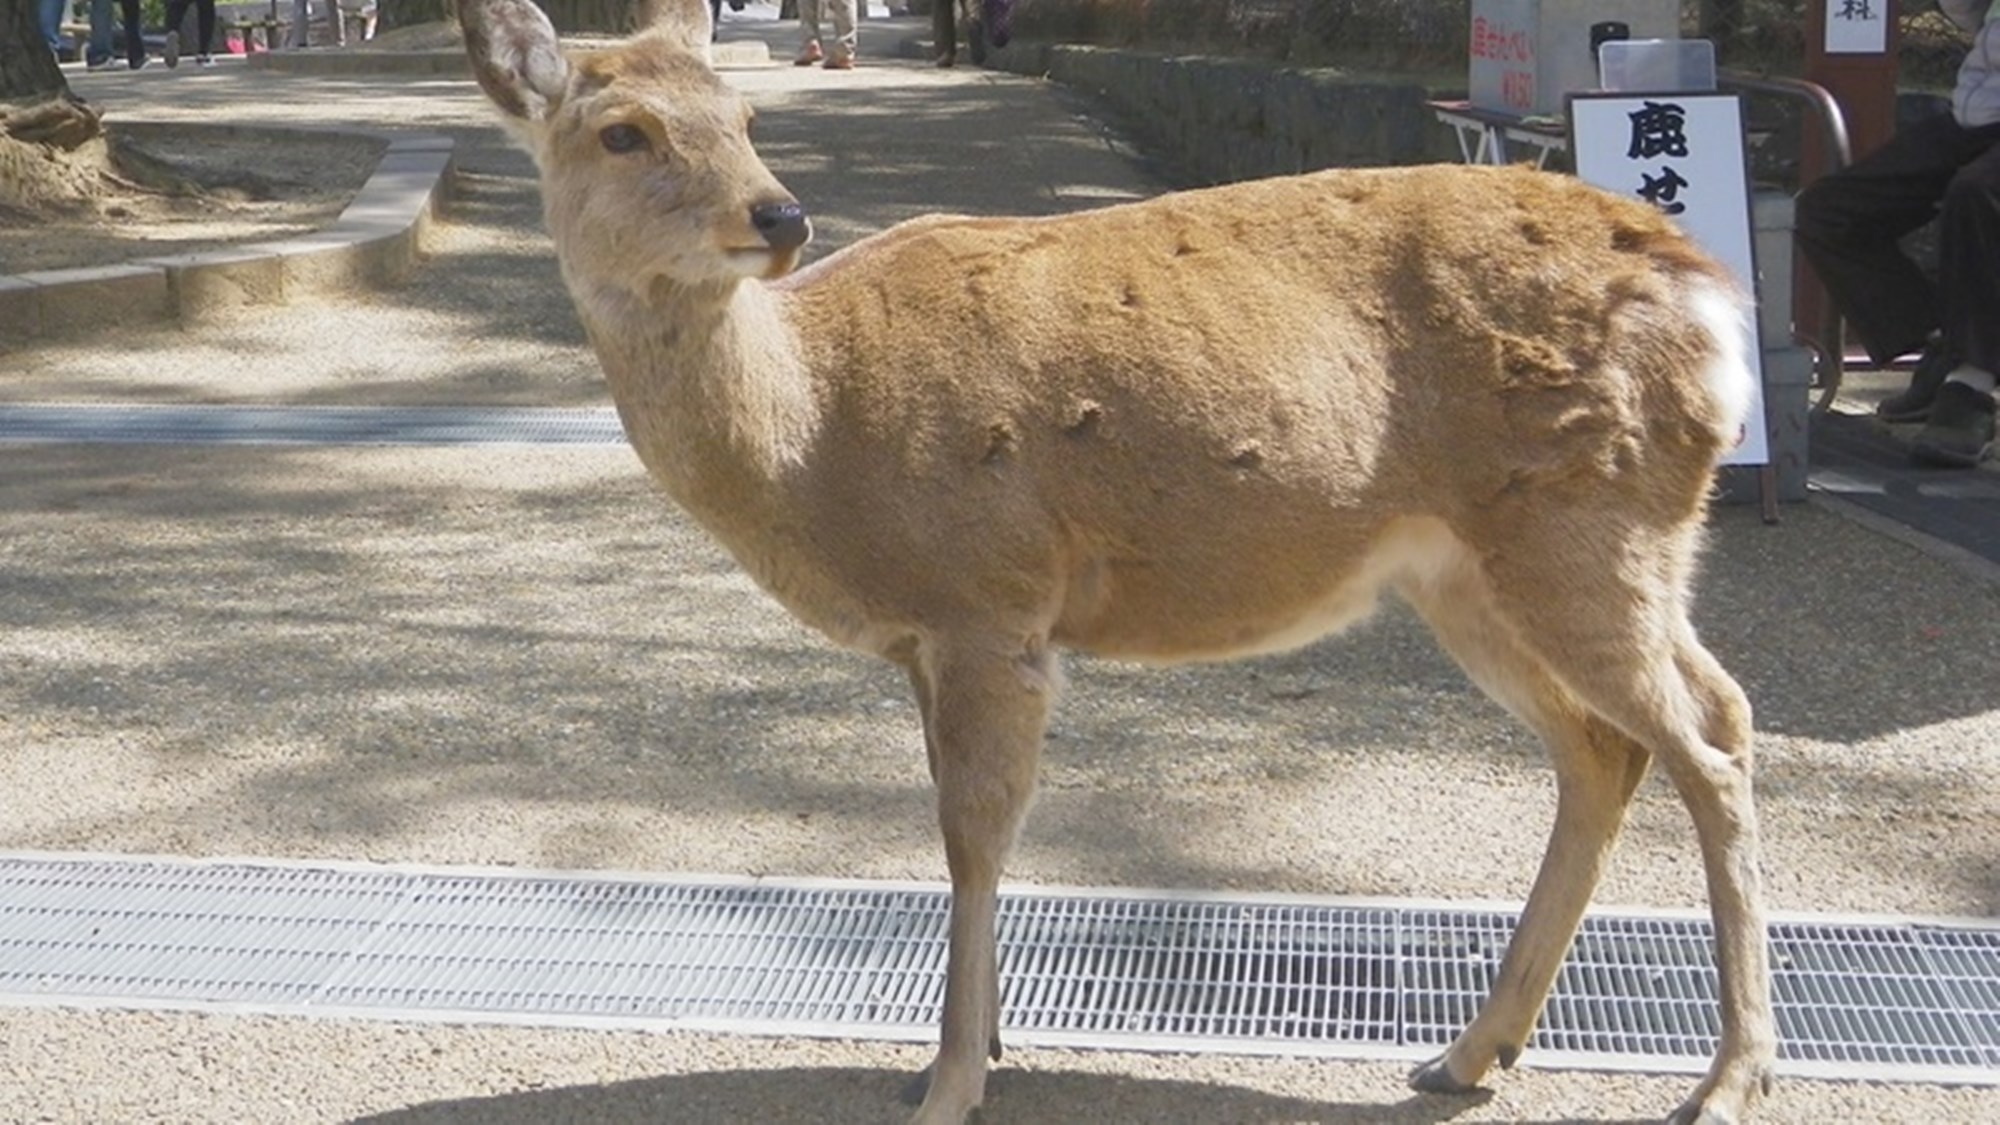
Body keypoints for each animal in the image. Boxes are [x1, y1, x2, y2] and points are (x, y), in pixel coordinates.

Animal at [458, 4, 1784, 1112]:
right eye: (622, 130)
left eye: (746, 119)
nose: (777, 216)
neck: (813, 434)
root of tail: (1712, 302)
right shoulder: (927, 635)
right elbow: (954, 820)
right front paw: (973, 1046)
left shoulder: (989, 593)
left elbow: (973, 830)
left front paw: (950, 1082)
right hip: (1478, 569)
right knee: (1616, 743)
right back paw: (1466, 1053)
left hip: (1585, 523)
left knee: (1708, 736)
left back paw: (1725, 1080)